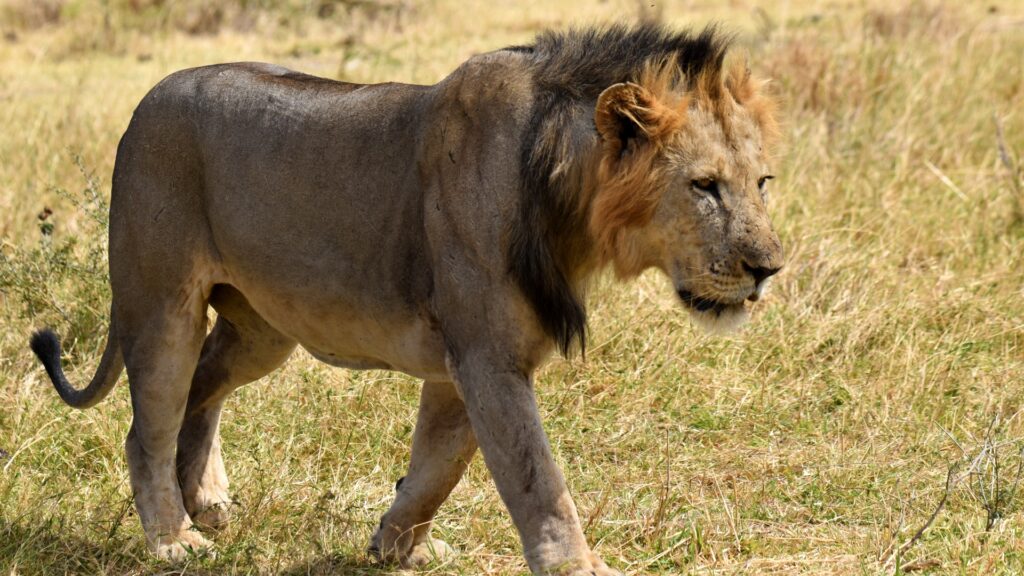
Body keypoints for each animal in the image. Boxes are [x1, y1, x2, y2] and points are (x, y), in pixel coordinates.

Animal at [30, 24, 782, 575]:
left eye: (763, 181)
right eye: (704, 186)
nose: (770, 268)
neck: (567, 205)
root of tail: (143, 105)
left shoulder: (467, 365)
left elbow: (439, 466)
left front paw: (397, 545)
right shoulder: (485, 357)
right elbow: (534, 476)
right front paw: (574, 565)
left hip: (263, 329)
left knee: (204, 384)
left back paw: (206, 499)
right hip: (161, 304)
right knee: (147, 427)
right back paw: (174, 538)